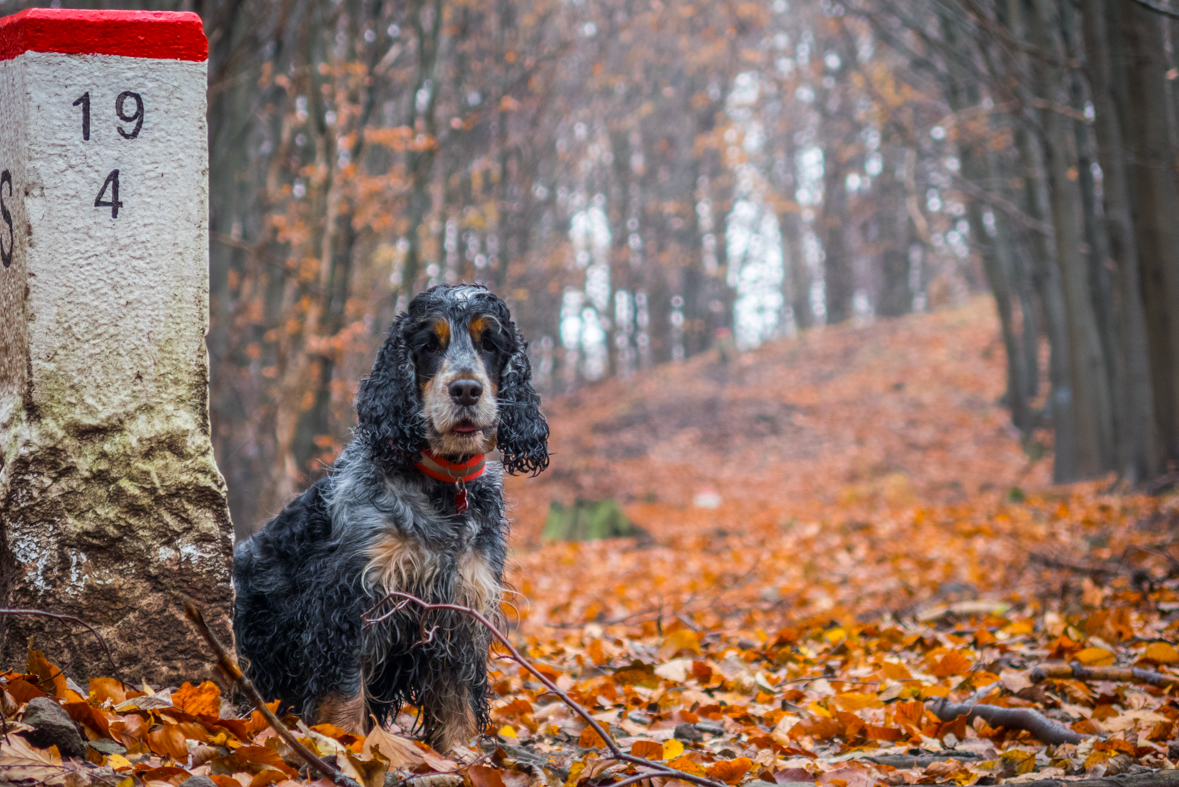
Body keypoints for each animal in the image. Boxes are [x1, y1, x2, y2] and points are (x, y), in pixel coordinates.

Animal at [232, 286, 549, 754]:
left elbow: (458, 707)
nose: (466, 390)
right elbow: (345, 697)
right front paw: (346, 749)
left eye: (490, 343)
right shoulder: (350, 603)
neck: (443, 487)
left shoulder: (459, 609)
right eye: (428, 346)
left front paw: (461, 757)